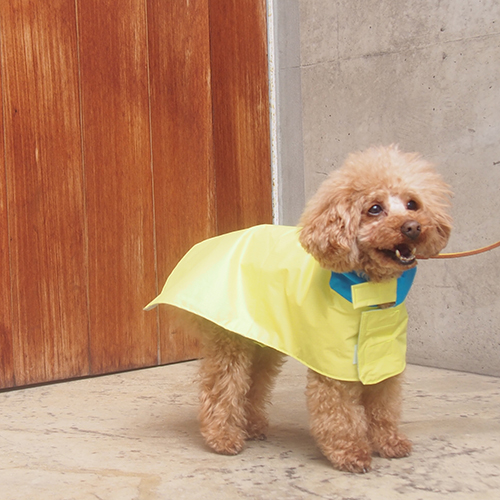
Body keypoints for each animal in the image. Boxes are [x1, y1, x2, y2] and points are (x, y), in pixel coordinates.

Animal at [146, 145, 454, 472]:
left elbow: (384, 403)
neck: (368, 287)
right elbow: (339, 412)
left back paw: (251, 425)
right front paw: (350, 452)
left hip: (263, 343)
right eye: (374, 209)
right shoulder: (334, 363)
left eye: (412, 204)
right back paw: (223, 437)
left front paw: (389, 441)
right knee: (222, 385)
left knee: (254, 384)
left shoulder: (385, 355)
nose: (413, 227)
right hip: (230, 342)